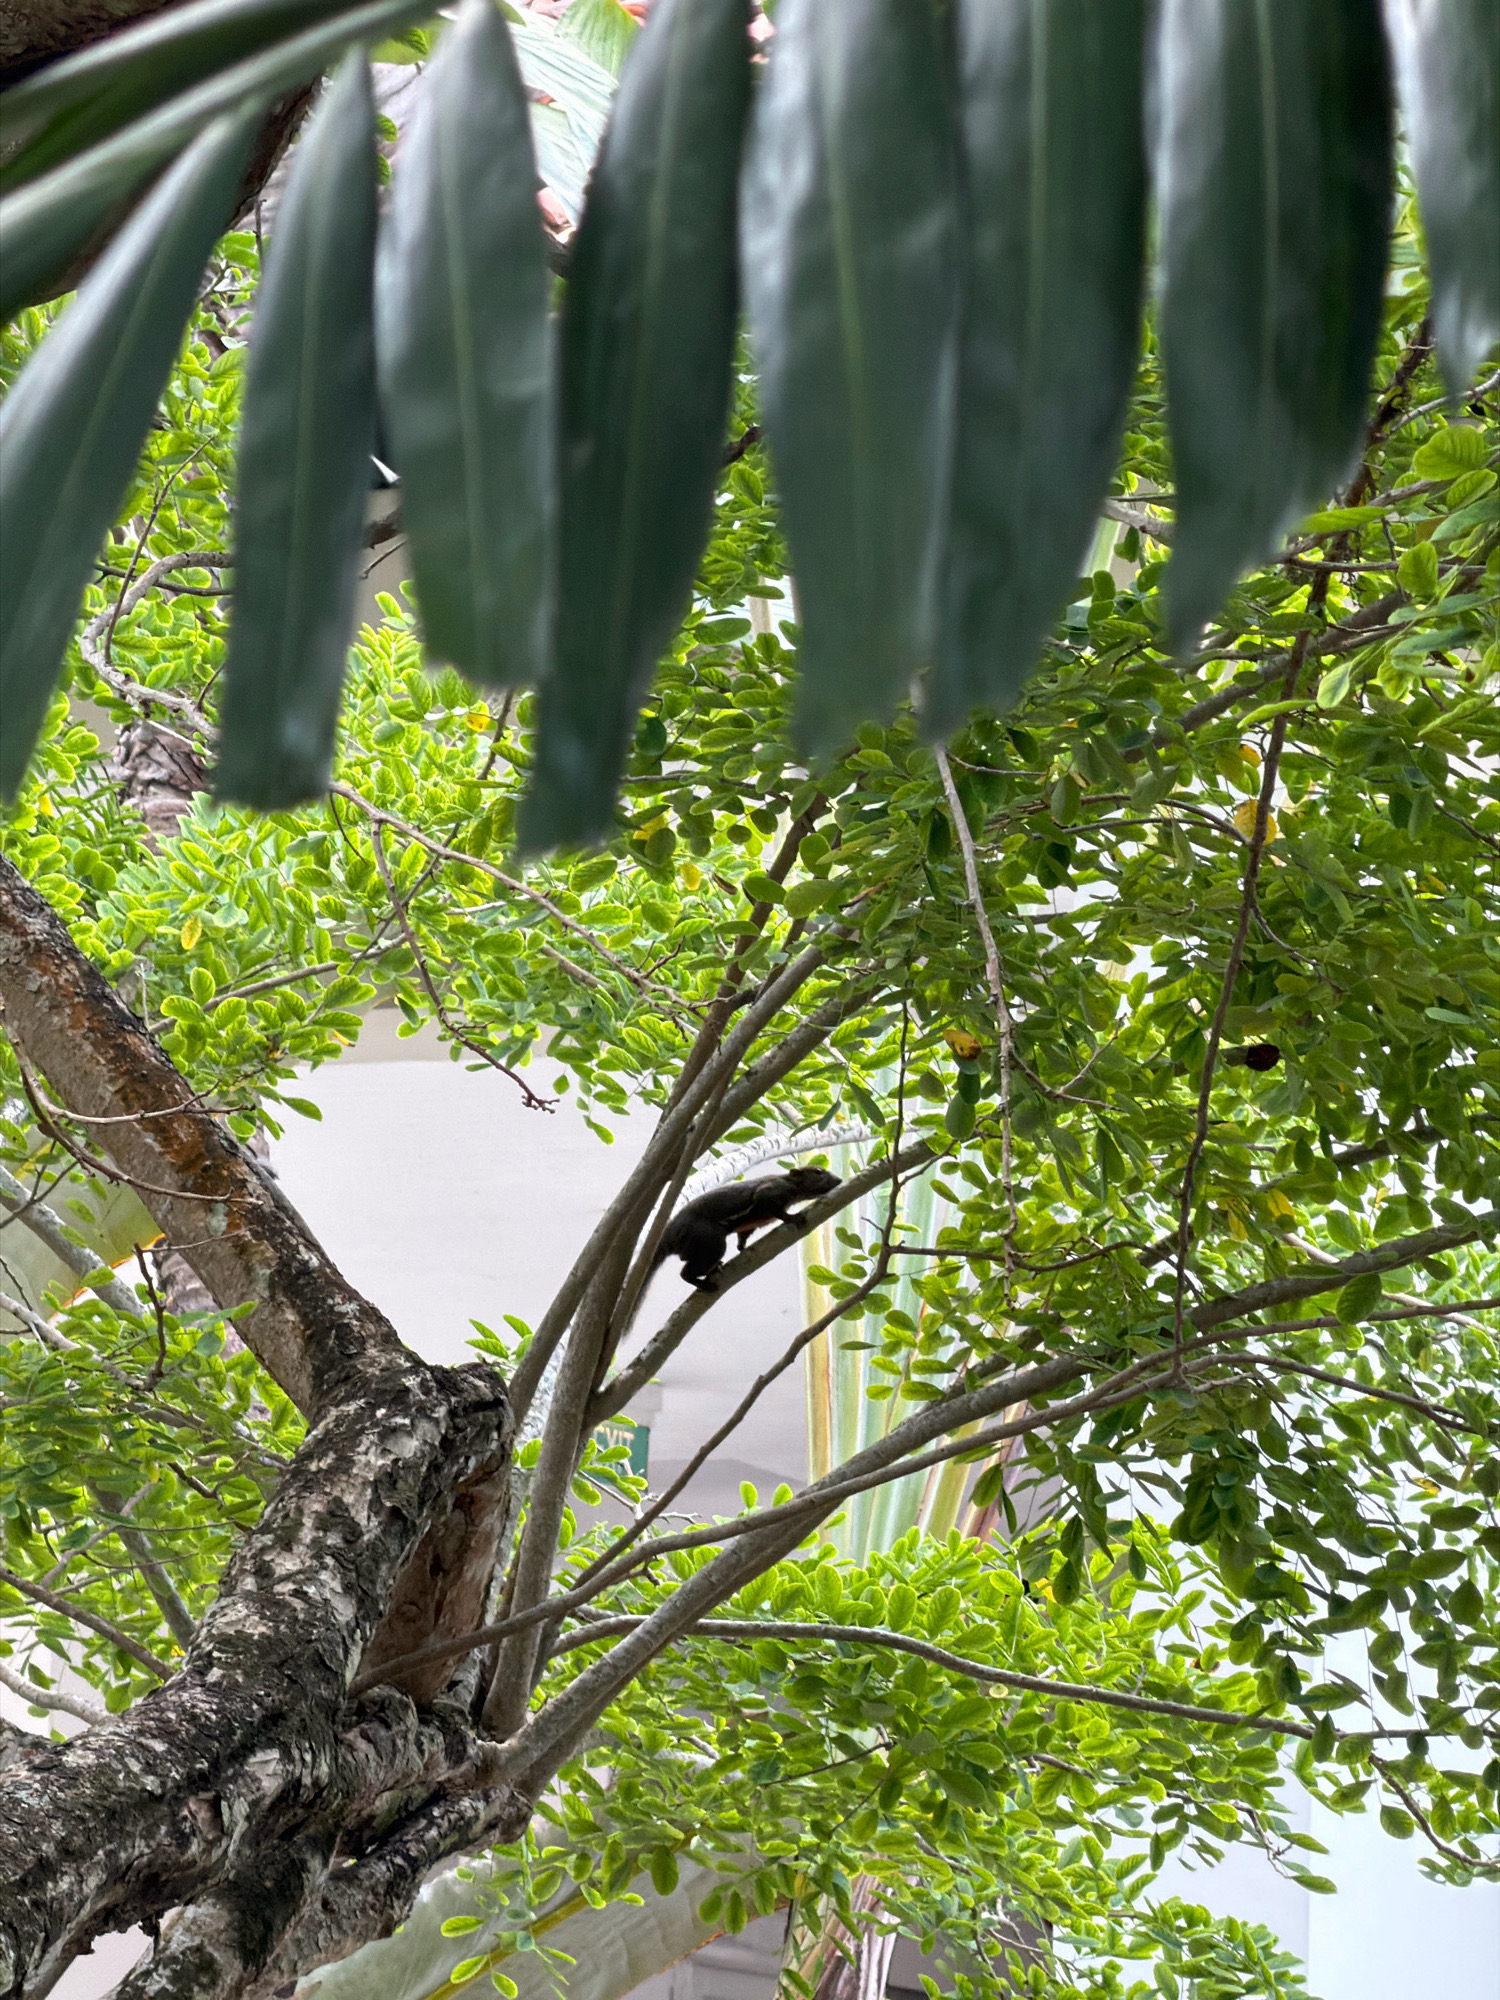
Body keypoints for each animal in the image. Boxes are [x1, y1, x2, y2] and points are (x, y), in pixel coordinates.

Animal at [653, 1164, 842, 1294]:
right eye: (818, 1171)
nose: (839, 1180)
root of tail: (667, 1235)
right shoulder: (770, 1193)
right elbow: (779, 1212)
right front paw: (794, 1218)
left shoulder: (750, 1225)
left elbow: (742, 1239)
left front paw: (742, 1248)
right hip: (710, 1243)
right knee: (685, 1273)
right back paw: (705, 1283)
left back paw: (716, 1268)